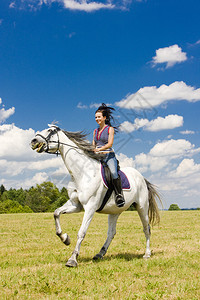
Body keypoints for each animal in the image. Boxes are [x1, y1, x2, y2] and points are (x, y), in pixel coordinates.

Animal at [31, 124, 162, 268]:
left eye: (50, 131)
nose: (33, 141)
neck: (82, 173)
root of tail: (141, 177)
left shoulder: (90, 207)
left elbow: (81, 232)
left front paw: (72, 259)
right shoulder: (75, 205)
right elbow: (56, 213)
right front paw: (65, 238)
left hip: (142, 207)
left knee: (146, 228)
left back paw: (147, 254)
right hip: (115, 211)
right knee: (111, 233)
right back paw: (100, 254)